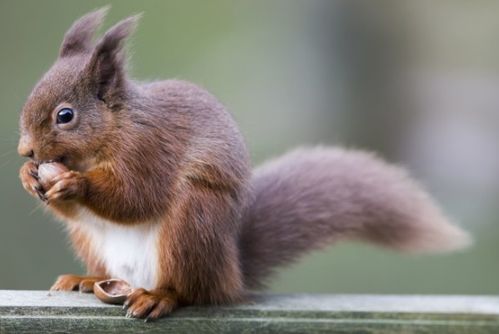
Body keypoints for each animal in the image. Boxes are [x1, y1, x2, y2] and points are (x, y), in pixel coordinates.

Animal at [17, 7, 470, 320]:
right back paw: (86, 279)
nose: (25, 150)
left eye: (65, 116)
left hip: (193, 222)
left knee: (190, 291)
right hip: (92, 241)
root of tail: (230, 273)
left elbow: (135, 197)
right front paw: (28, 177)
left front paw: (75, 183)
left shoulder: (149, 150)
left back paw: (159, 297)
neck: (114, 128)